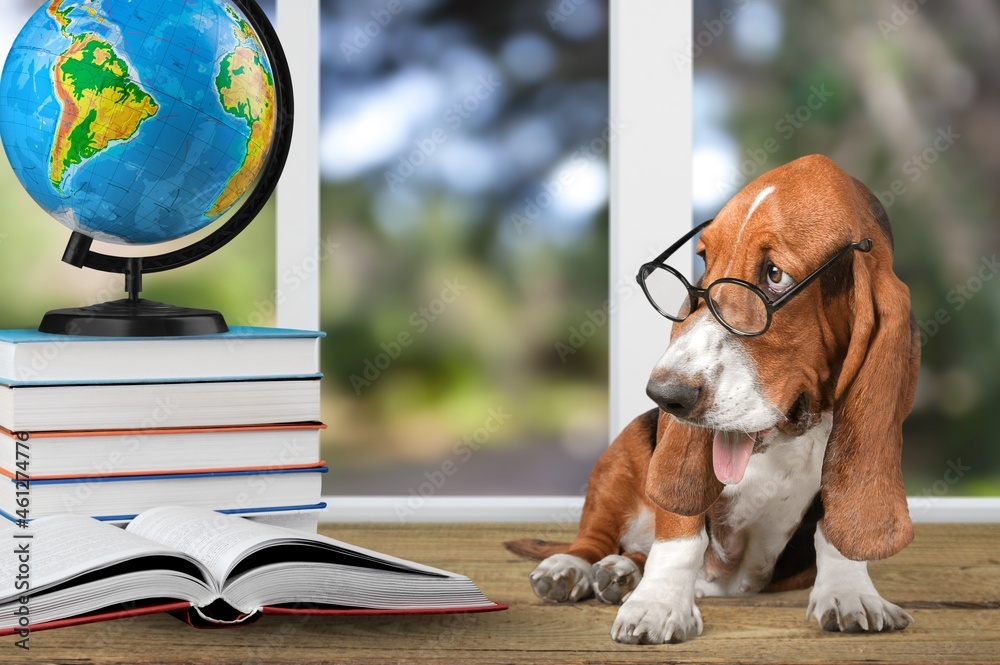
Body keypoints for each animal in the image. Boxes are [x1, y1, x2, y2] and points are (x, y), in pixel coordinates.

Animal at [508, 154, 920, 644]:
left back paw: (624, 573)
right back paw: (575, 567)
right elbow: (681, 534)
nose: (664, 395)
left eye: (775, 275)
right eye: (703, 260)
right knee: (595, 537)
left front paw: (850, 592)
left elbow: (832, 532)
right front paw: (658, 604)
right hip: (622, 452)